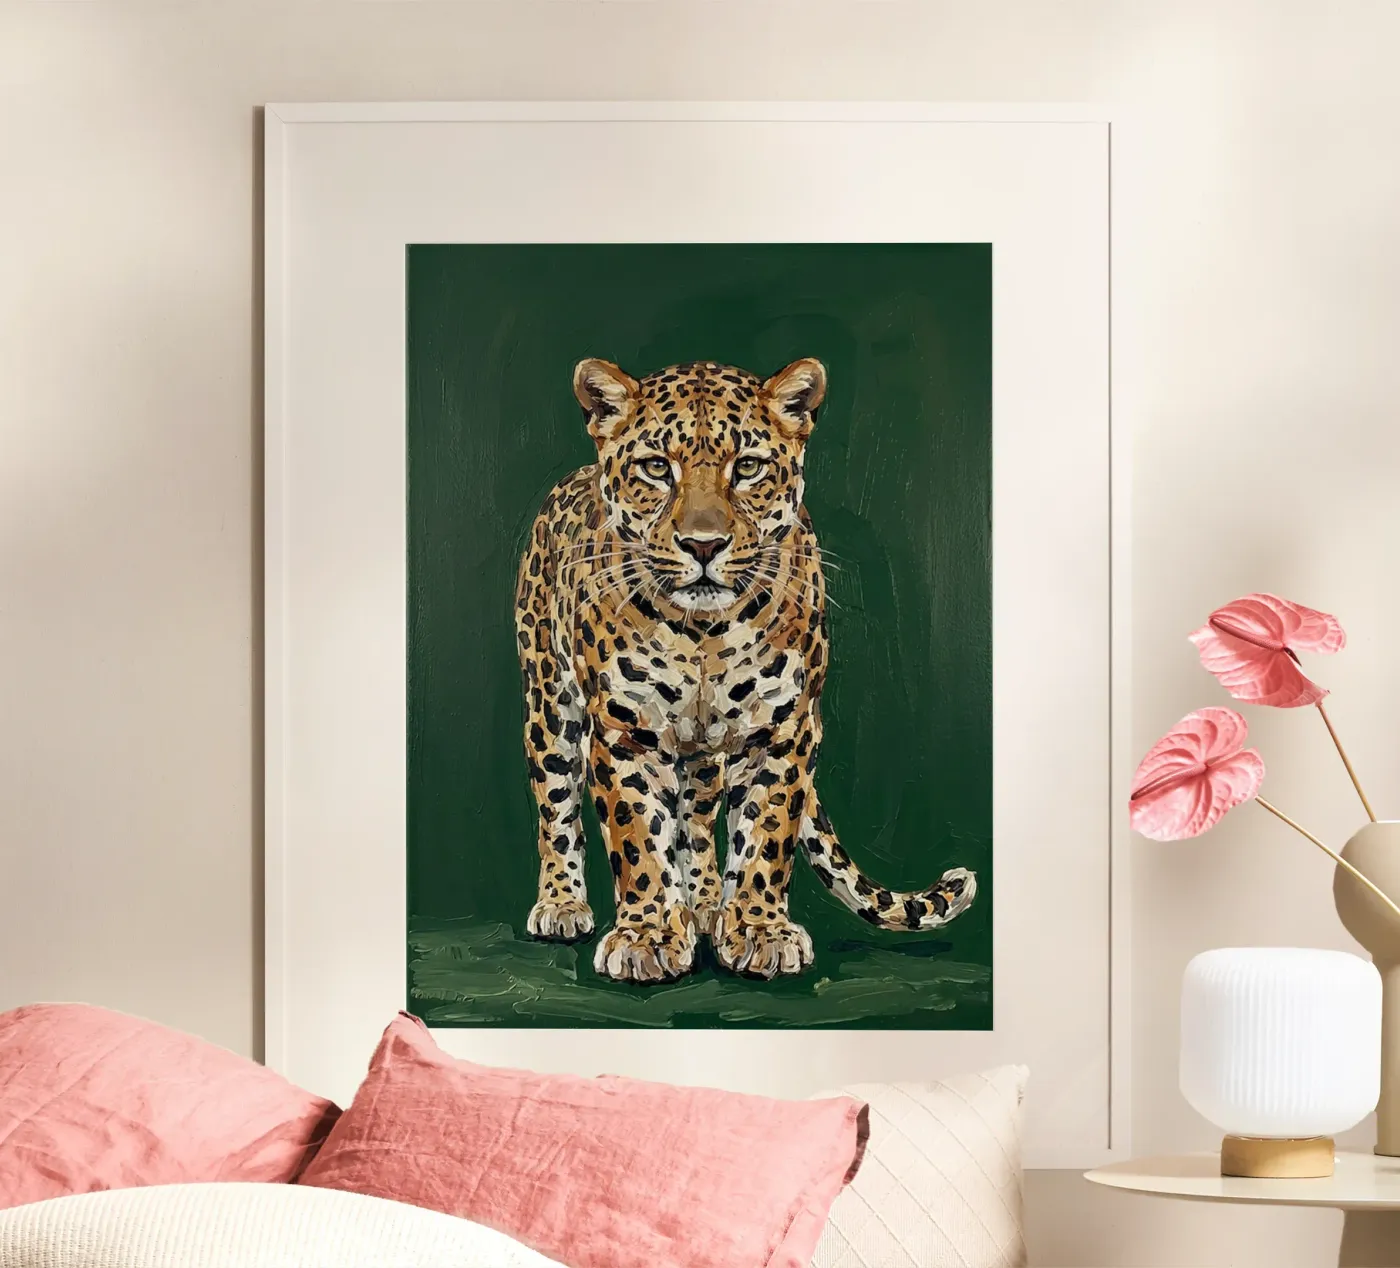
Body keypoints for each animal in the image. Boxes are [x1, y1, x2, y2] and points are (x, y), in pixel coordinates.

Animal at [514, 356, 977, 984]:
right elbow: (638, 838)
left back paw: (708, 904)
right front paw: (647, 935)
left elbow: (766, 833)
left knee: (697, 819)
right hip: (549, 702)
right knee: (556, 804)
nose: (703, 545)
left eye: (749, 467)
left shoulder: (784, 728)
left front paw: (759, 930)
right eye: (656, 468)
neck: (704, 634)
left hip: (707, 755)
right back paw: (563, 904)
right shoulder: (623, 730)